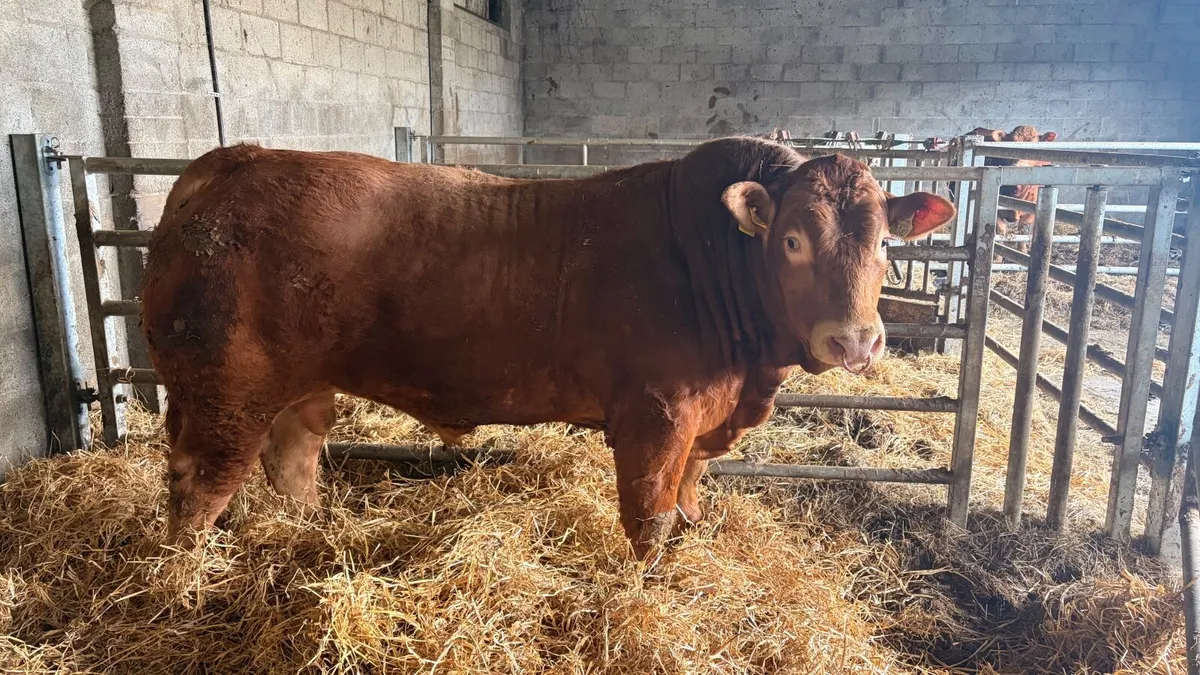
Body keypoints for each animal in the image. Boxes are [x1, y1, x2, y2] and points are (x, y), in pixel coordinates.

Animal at [140, 137, 955, 559]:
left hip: (300, 385)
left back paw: (309, 535)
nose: (855, 338)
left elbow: (689, 499)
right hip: (225, 392)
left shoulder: (704, 421)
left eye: (885, 242)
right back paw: (182, 584)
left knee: (293, 457)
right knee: (199, 486)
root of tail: (228, 163)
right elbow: (651, 515)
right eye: (791, 240)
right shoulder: (656, 415)